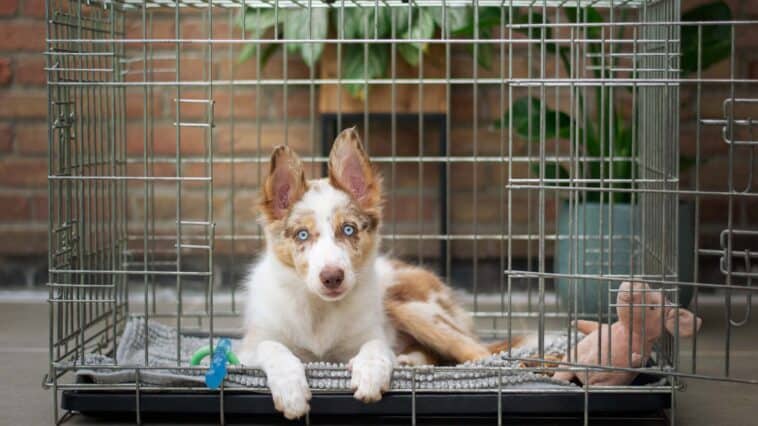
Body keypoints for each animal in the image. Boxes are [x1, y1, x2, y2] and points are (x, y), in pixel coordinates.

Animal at [239, 127, 498, 420]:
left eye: (348, 229)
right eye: (302, 234)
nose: (332, 277)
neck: (319, 310)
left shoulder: (371, 334)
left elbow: (375, 346)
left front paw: (370, 374)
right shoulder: (249, 347)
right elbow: (273, 347)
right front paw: (290, 390)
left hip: (410, 306)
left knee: (478, 351)